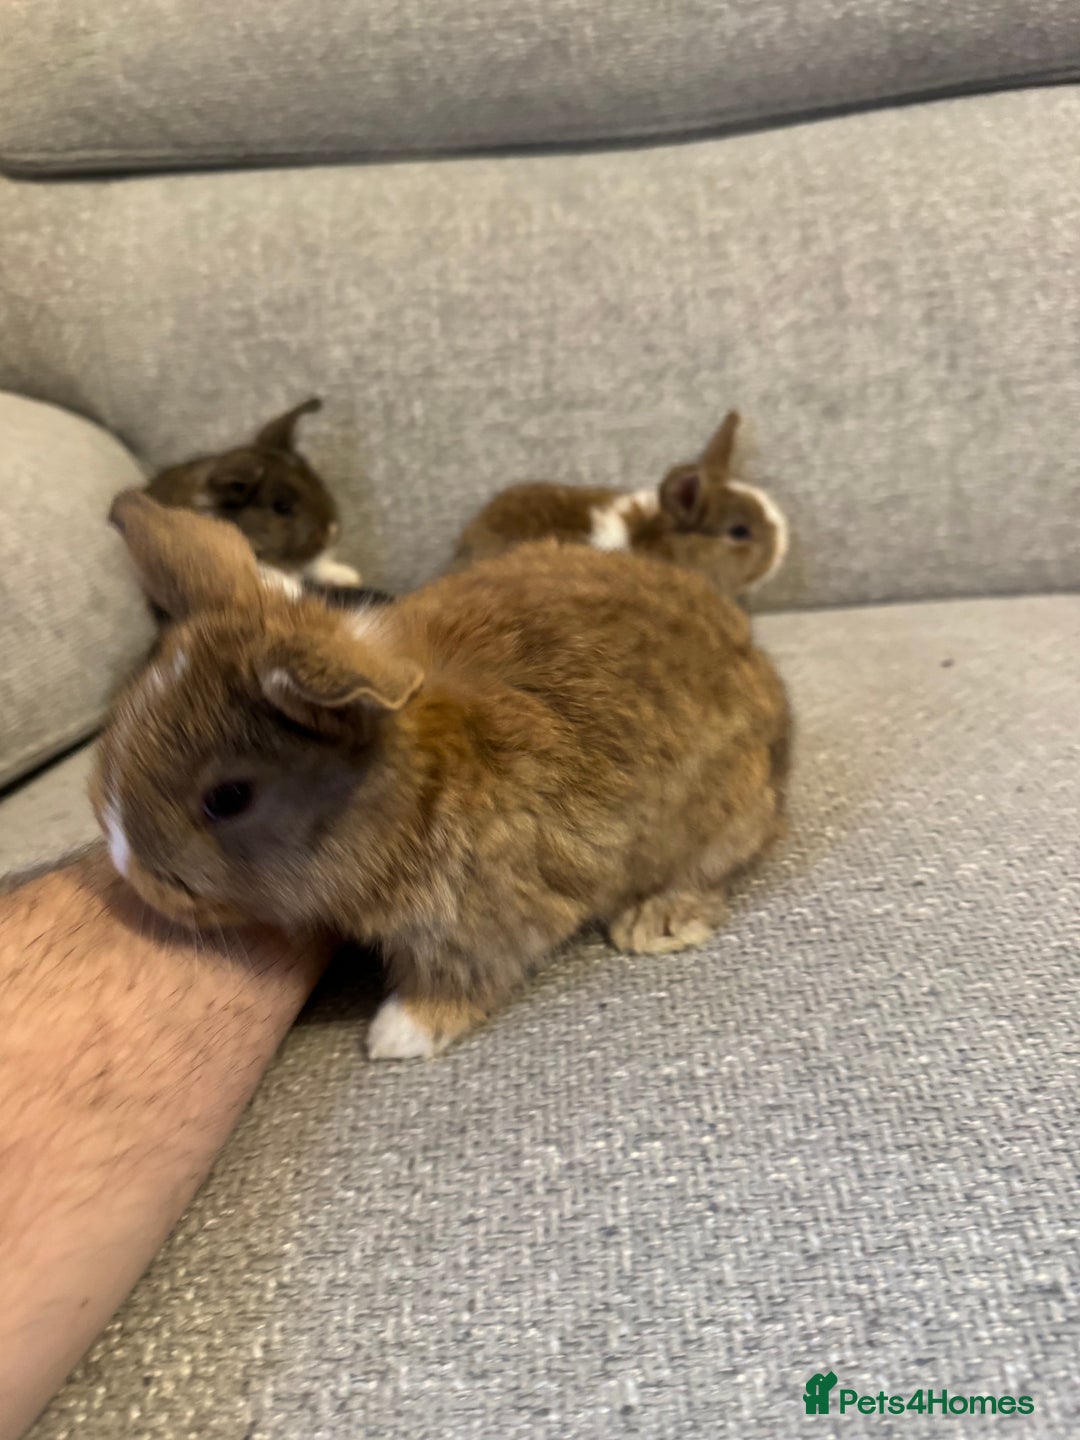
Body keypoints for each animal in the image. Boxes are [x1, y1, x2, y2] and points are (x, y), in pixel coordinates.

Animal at [93, 491, 791, 1060]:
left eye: (228, 798)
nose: (132, 874)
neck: (419, 784)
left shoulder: (477, 923)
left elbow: (459, 976)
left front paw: (397, 1036)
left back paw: (654, 923)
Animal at [146, 397, 363, 588]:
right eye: (282, 507)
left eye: (317, 480)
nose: (332, 532)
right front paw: (290, 588)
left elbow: (317, 565)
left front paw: (348, 576)